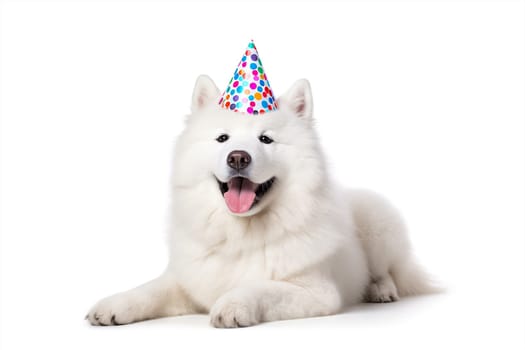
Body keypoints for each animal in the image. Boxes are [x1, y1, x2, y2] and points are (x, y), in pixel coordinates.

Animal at [87, 75, 434, 326]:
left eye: (265, 139)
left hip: (377, 222)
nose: (238, 157)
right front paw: (112, 306)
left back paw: (381, 290)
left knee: (387, 270)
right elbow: (149, 289)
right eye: (222, 138)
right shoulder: (188, 281)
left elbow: (261, 287)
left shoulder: (316, 292)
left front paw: (231, 306)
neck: (240, 234)